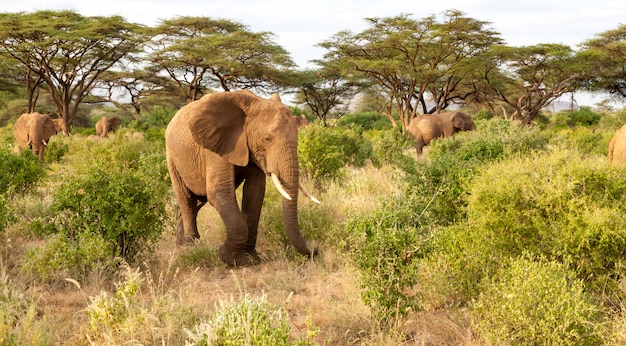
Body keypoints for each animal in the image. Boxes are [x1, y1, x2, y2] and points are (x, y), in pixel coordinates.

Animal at [165, 88, 316, 264]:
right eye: (267, 139)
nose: (315, 249)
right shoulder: (217, 147)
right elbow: (219, 192)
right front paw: (229, 257)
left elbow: (255, 193)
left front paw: (250, 258)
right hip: (171, 157)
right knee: (187, 199)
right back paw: (188, 250)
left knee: (199, 201)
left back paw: (180, 246)